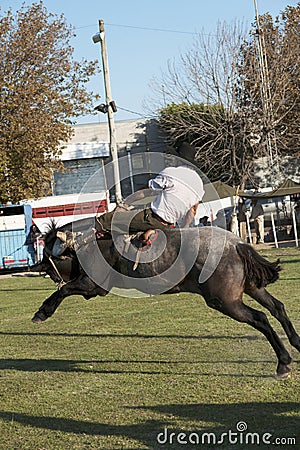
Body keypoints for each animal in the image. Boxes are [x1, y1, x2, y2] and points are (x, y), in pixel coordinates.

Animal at [31, 218, 300, 380]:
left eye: (48, 256)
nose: (40, 268)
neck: (90, 243)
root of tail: (236, 244)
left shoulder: (92, 286)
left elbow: (64, 291)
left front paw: (43, 311)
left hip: (226, 302)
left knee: (261, 318)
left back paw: (283, 363)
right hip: (252, 288)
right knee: (277, 308)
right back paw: (296, 343)